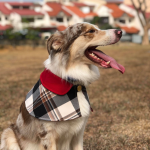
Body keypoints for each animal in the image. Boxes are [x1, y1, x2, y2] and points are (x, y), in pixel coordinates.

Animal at [0, 22, 124, 150]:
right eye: (90, 31)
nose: (120, 31)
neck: (73, 85)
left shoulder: (78, 133)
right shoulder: (48, 136)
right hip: (8, 133)